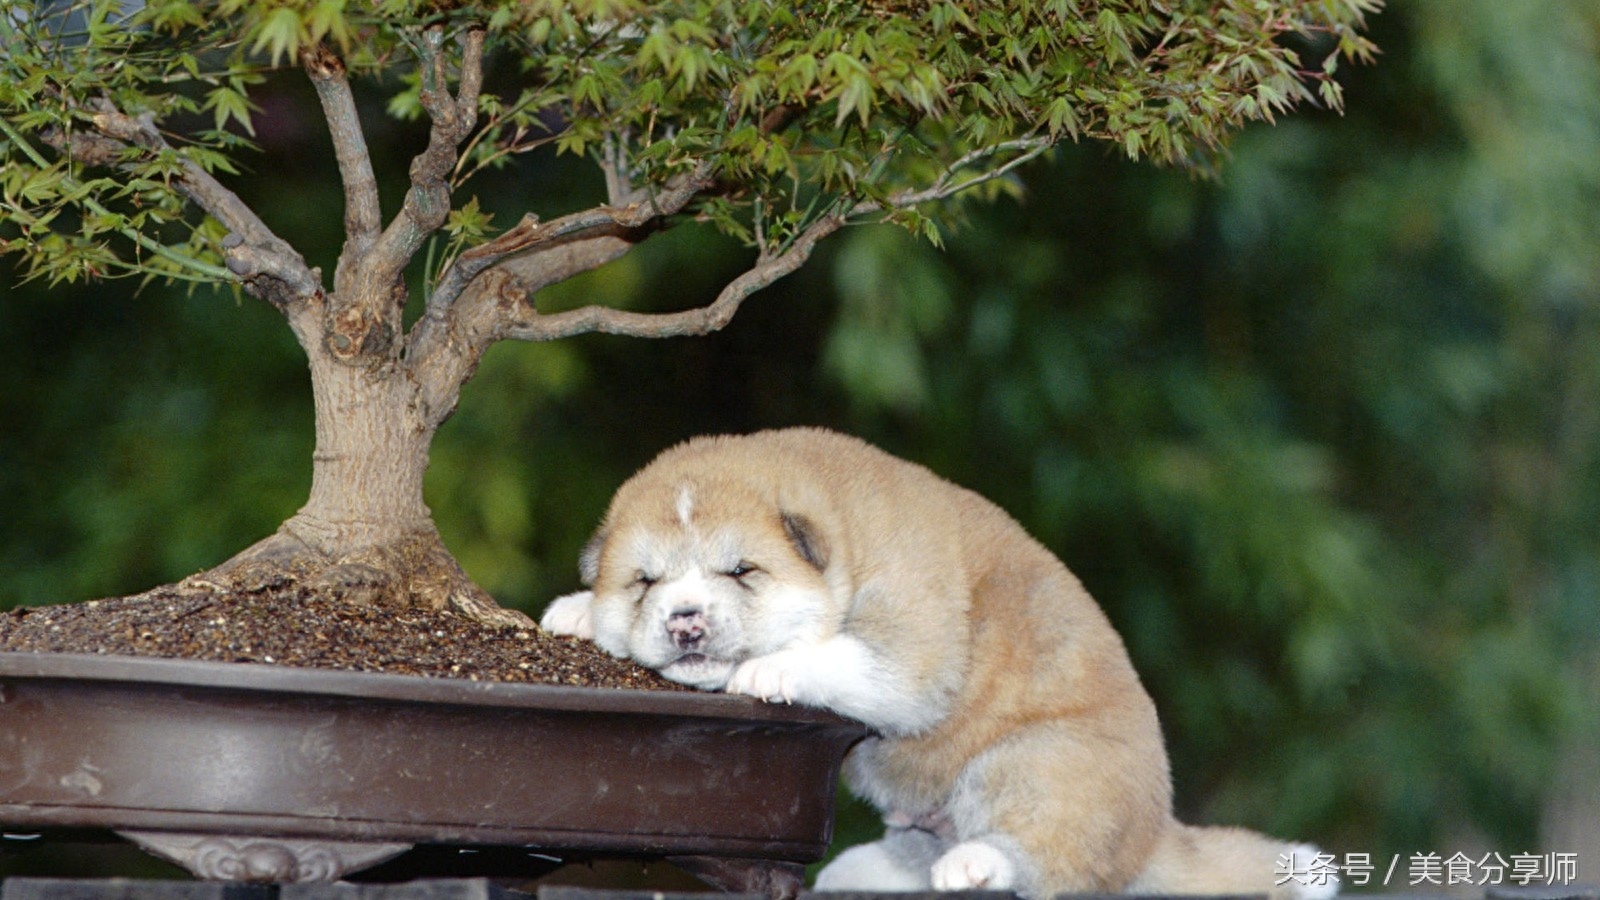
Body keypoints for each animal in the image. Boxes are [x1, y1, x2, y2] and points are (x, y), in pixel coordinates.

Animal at [544, 429, 1344, 896]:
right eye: (644, 581)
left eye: (741, 571)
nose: (684, 620)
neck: (847, 540)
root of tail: (1156, 829)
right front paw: (576, 610)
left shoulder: (910, 652)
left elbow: (841, 653)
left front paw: (765, 671)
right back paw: (860, 872)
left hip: (1030, 765)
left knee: (1035, 856)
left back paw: (973, 863)